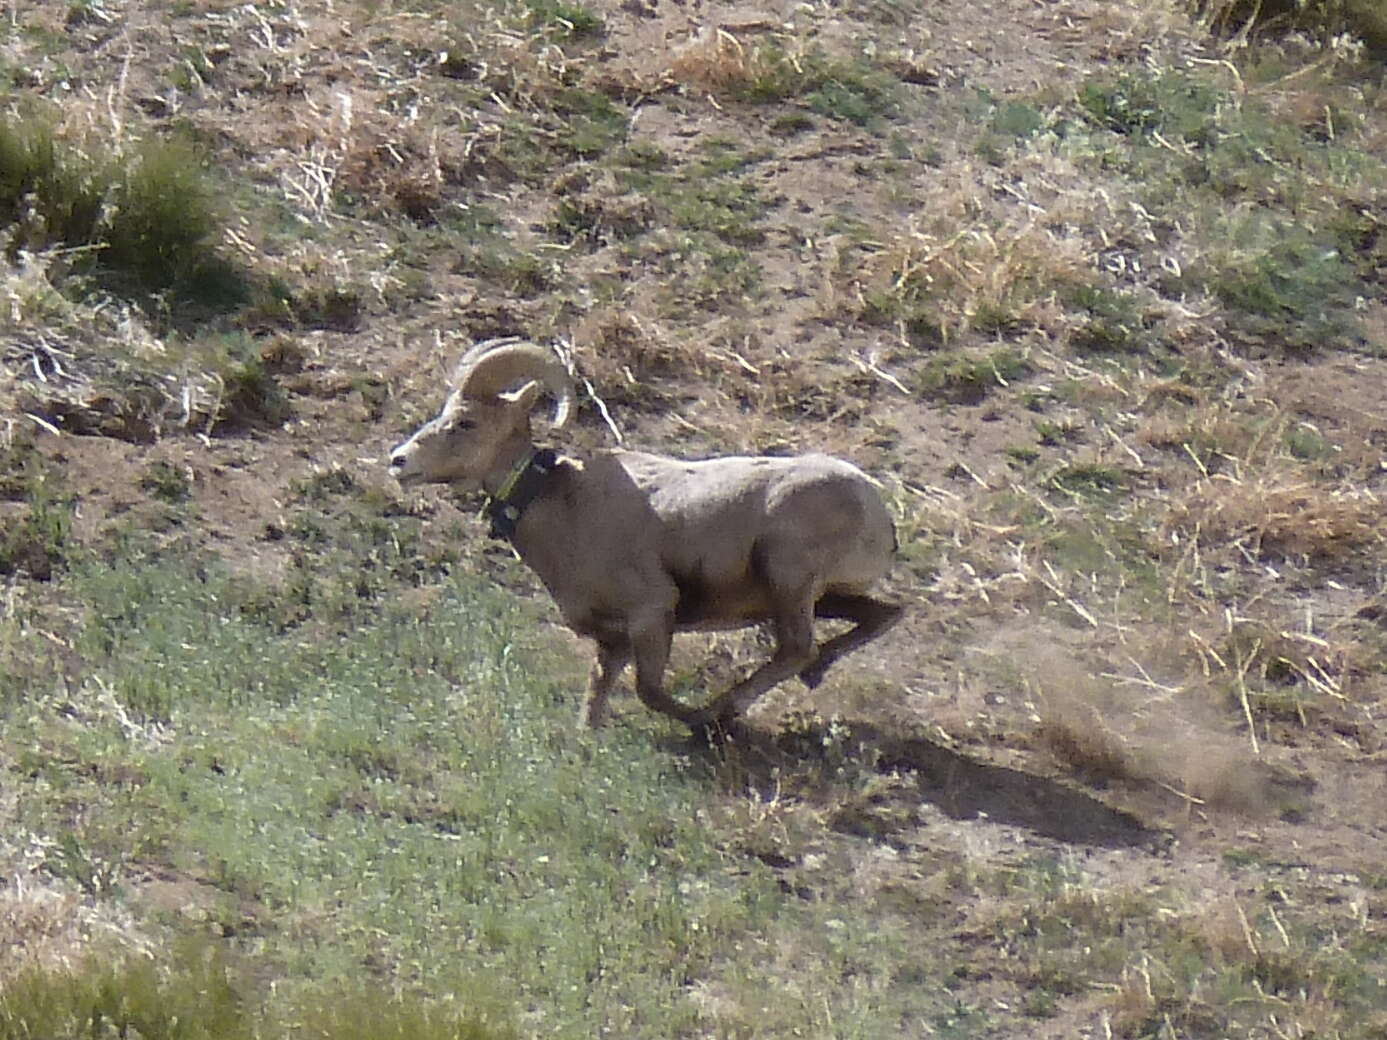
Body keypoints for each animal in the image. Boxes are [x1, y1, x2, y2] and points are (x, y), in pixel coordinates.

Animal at [385, 338, 904, 726]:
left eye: (465, 422)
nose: (398, 461)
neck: (564, 509)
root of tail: (875, 505)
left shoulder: (651, 614)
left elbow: (648, 691)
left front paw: (699, 721)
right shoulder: (611, 640)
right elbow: (596, 694)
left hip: (787, 575)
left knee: (797, 647)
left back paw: (724, 710)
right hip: (822, 596)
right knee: (882, 616)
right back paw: (814, 674)